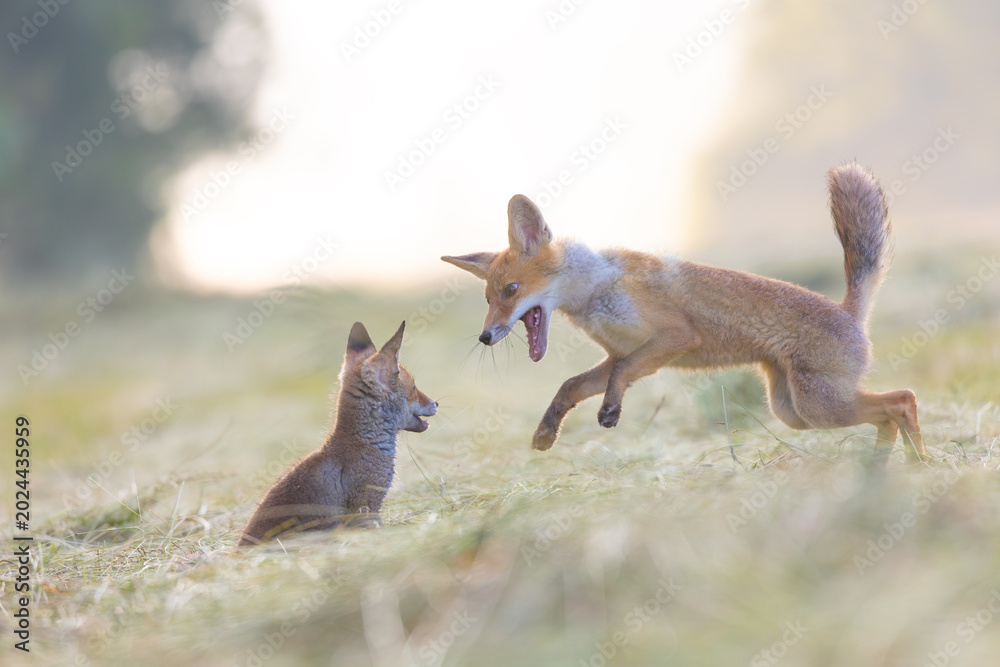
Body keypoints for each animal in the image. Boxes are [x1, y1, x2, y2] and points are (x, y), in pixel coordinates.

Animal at [442, 162, 924, 463]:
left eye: (511, 291)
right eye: (488, 299)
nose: (485, 337)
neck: (595, 290)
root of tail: (849, 312)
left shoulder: (673, 337)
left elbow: (619, 378)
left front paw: (610, 411)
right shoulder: (619, 352)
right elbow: (570, 387)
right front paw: (547, 431)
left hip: (817, 405)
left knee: (902, 400)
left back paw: (916, 464)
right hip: (794, 411)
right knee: (889, 413)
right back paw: (889, 470)